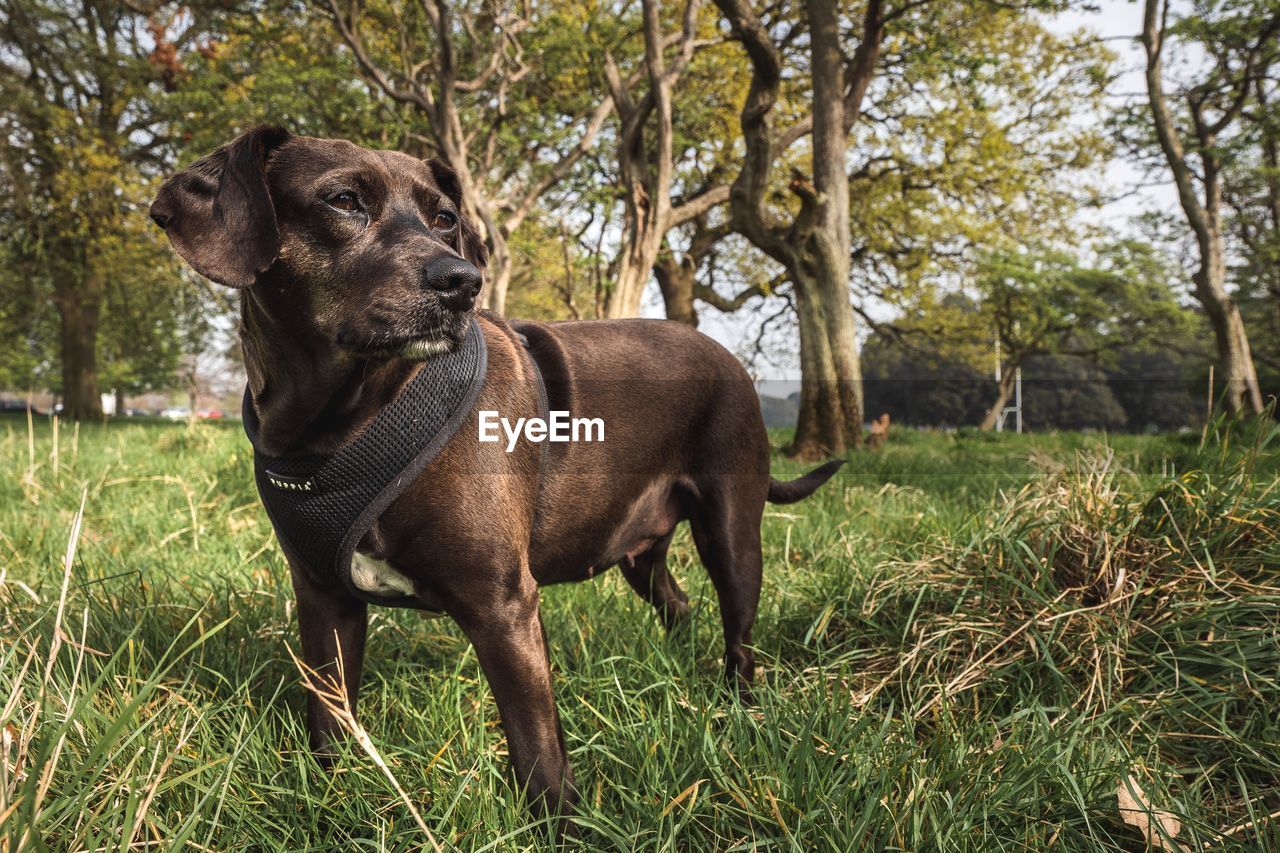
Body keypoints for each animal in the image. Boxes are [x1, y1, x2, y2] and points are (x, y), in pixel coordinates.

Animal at [149, 128, 844, 824]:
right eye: (343, 200)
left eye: (444, 218)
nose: (463, 281)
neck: (340, 424)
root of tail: (724, 353)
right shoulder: (325, 601)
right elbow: (328, 715)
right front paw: (328, 795)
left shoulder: (503, 607)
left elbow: (537, 748)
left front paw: (561, 825)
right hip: (639, 554)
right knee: (678, 602)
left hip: (732, 532)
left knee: (739, 634)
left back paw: (739, 709)